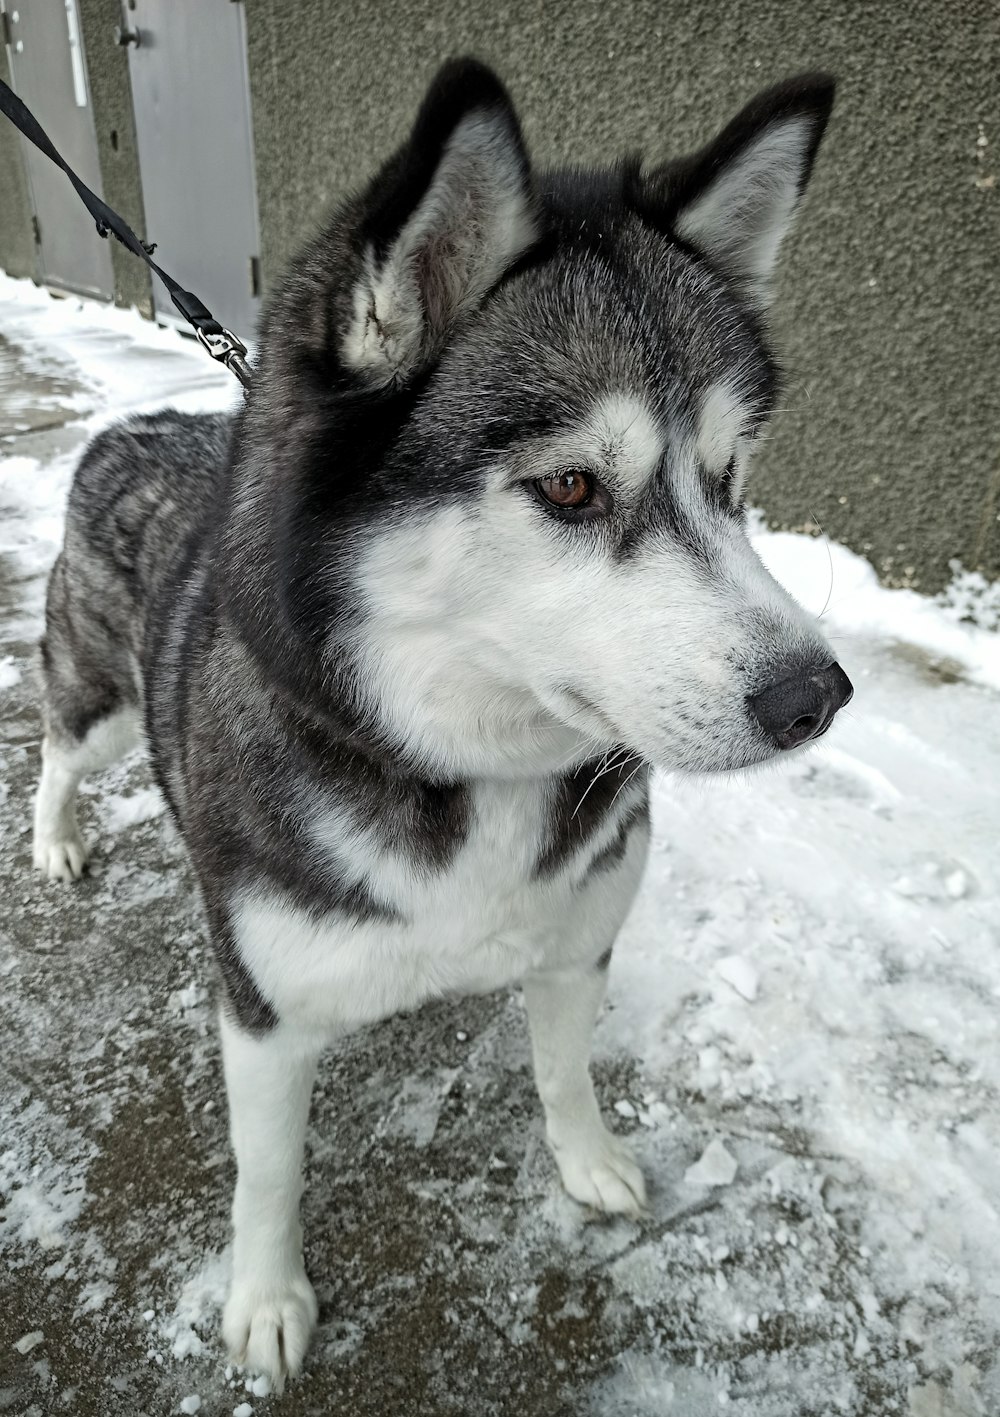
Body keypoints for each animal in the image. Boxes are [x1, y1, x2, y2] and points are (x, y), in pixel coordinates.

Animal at [37, 63, 849, 1382]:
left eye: (728, 480)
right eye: (570, 485)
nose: (813, 695)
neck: (465, 771)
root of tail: (135, 424)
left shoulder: (576, 942)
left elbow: (564, 1071)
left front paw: (588, 1161)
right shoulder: (262, 1013)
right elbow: (266, 1172)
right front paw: (266, 1296)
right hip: (99, 700)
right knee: (59, 749)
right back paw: (54, 838)